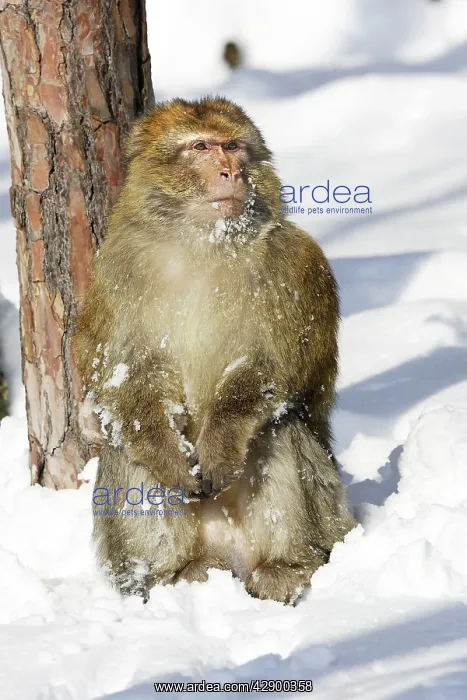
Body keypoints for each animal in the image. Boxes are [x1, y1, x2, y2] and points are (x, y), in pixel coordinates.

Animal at [75, 97, 355, 605]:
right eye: (201, 147)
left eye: (234, 146)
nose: (231, 171)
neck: (203, 243)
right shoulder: (115, 269)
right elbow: (127, 377)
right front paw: (168, 458)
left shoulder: (294, 264)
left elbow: (271, 368)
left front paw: (221, 445)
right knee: (124, 444)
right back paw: (167, 576)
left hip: (326, 516)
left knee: (279, 426)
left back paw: (288, 568)